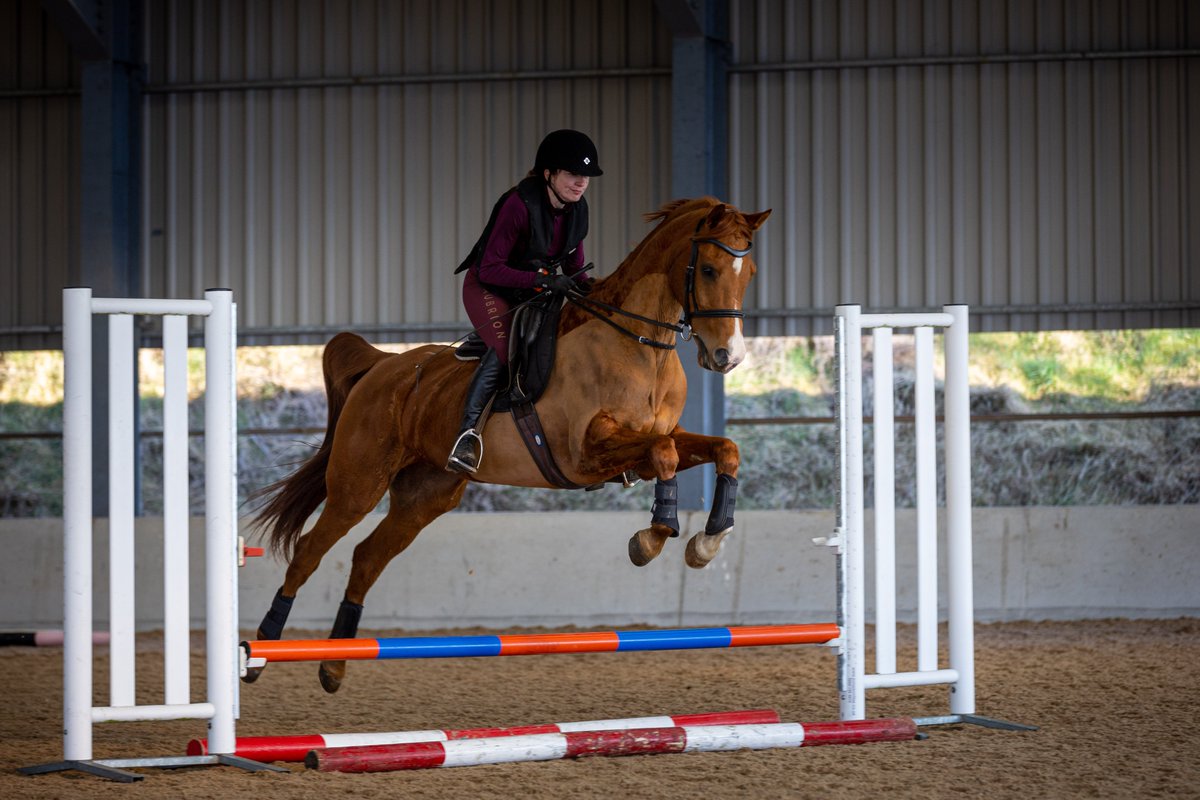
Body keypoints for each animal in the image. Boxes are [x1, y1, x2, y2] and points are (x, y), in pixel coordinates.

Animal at [247, 196, 771, 692]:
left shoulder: (653, 442)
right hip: (359, 484)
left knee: (367, 557)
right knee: (310, 550)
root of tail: (380, 366)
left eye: (750, 274)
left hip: (426, 495)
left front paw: (707, 541)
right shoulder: (586, 453)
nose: (728, 357)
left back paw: (333, 667)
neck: (642, 346)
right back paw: (261, 652)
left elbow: (721, 449)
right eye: (708, 269)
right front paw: (651, 539)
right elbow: (663, 455)